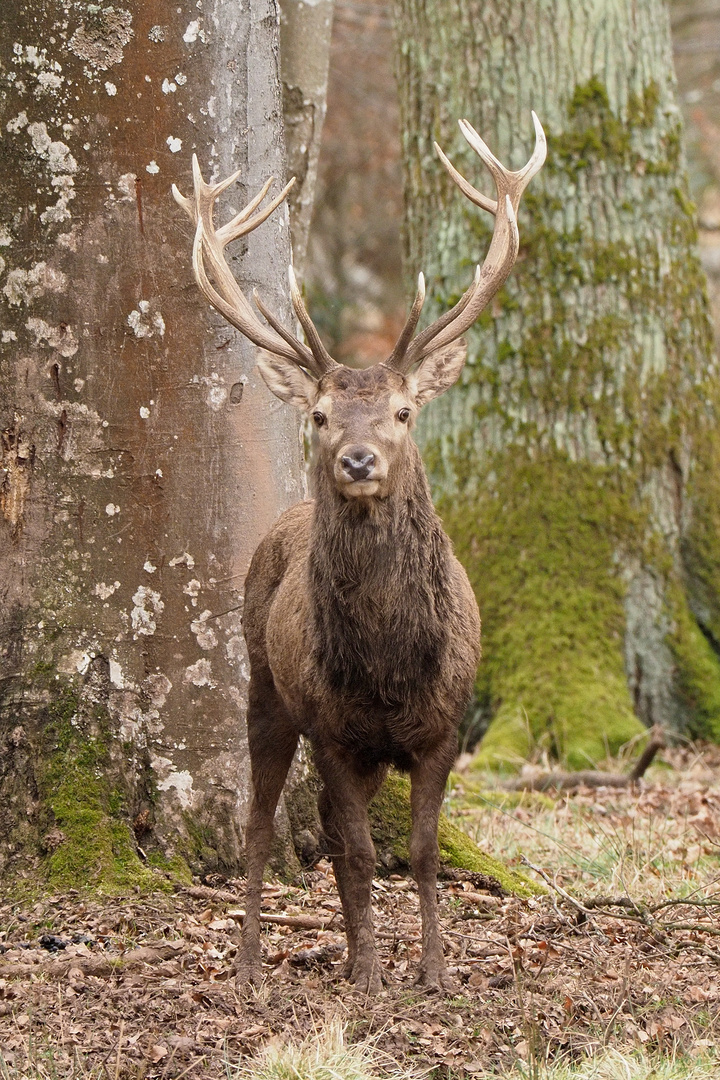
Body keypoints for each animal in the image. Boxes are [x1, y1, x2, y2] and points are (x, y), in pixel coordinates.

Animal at [172, 113, 546, 989]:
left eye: (405, 411)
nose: (358, 459)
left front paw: (433, 973)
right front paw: (377, 975)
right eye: (318, 414)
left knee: (330, 835)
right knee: (263, 828)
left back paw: (341, 954)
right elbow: (367, 854)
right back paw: (252, 966)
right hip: (267, 687)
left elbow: (420, 855)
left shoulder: (443, 728)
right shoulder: (336, 730)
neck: (387, 665)